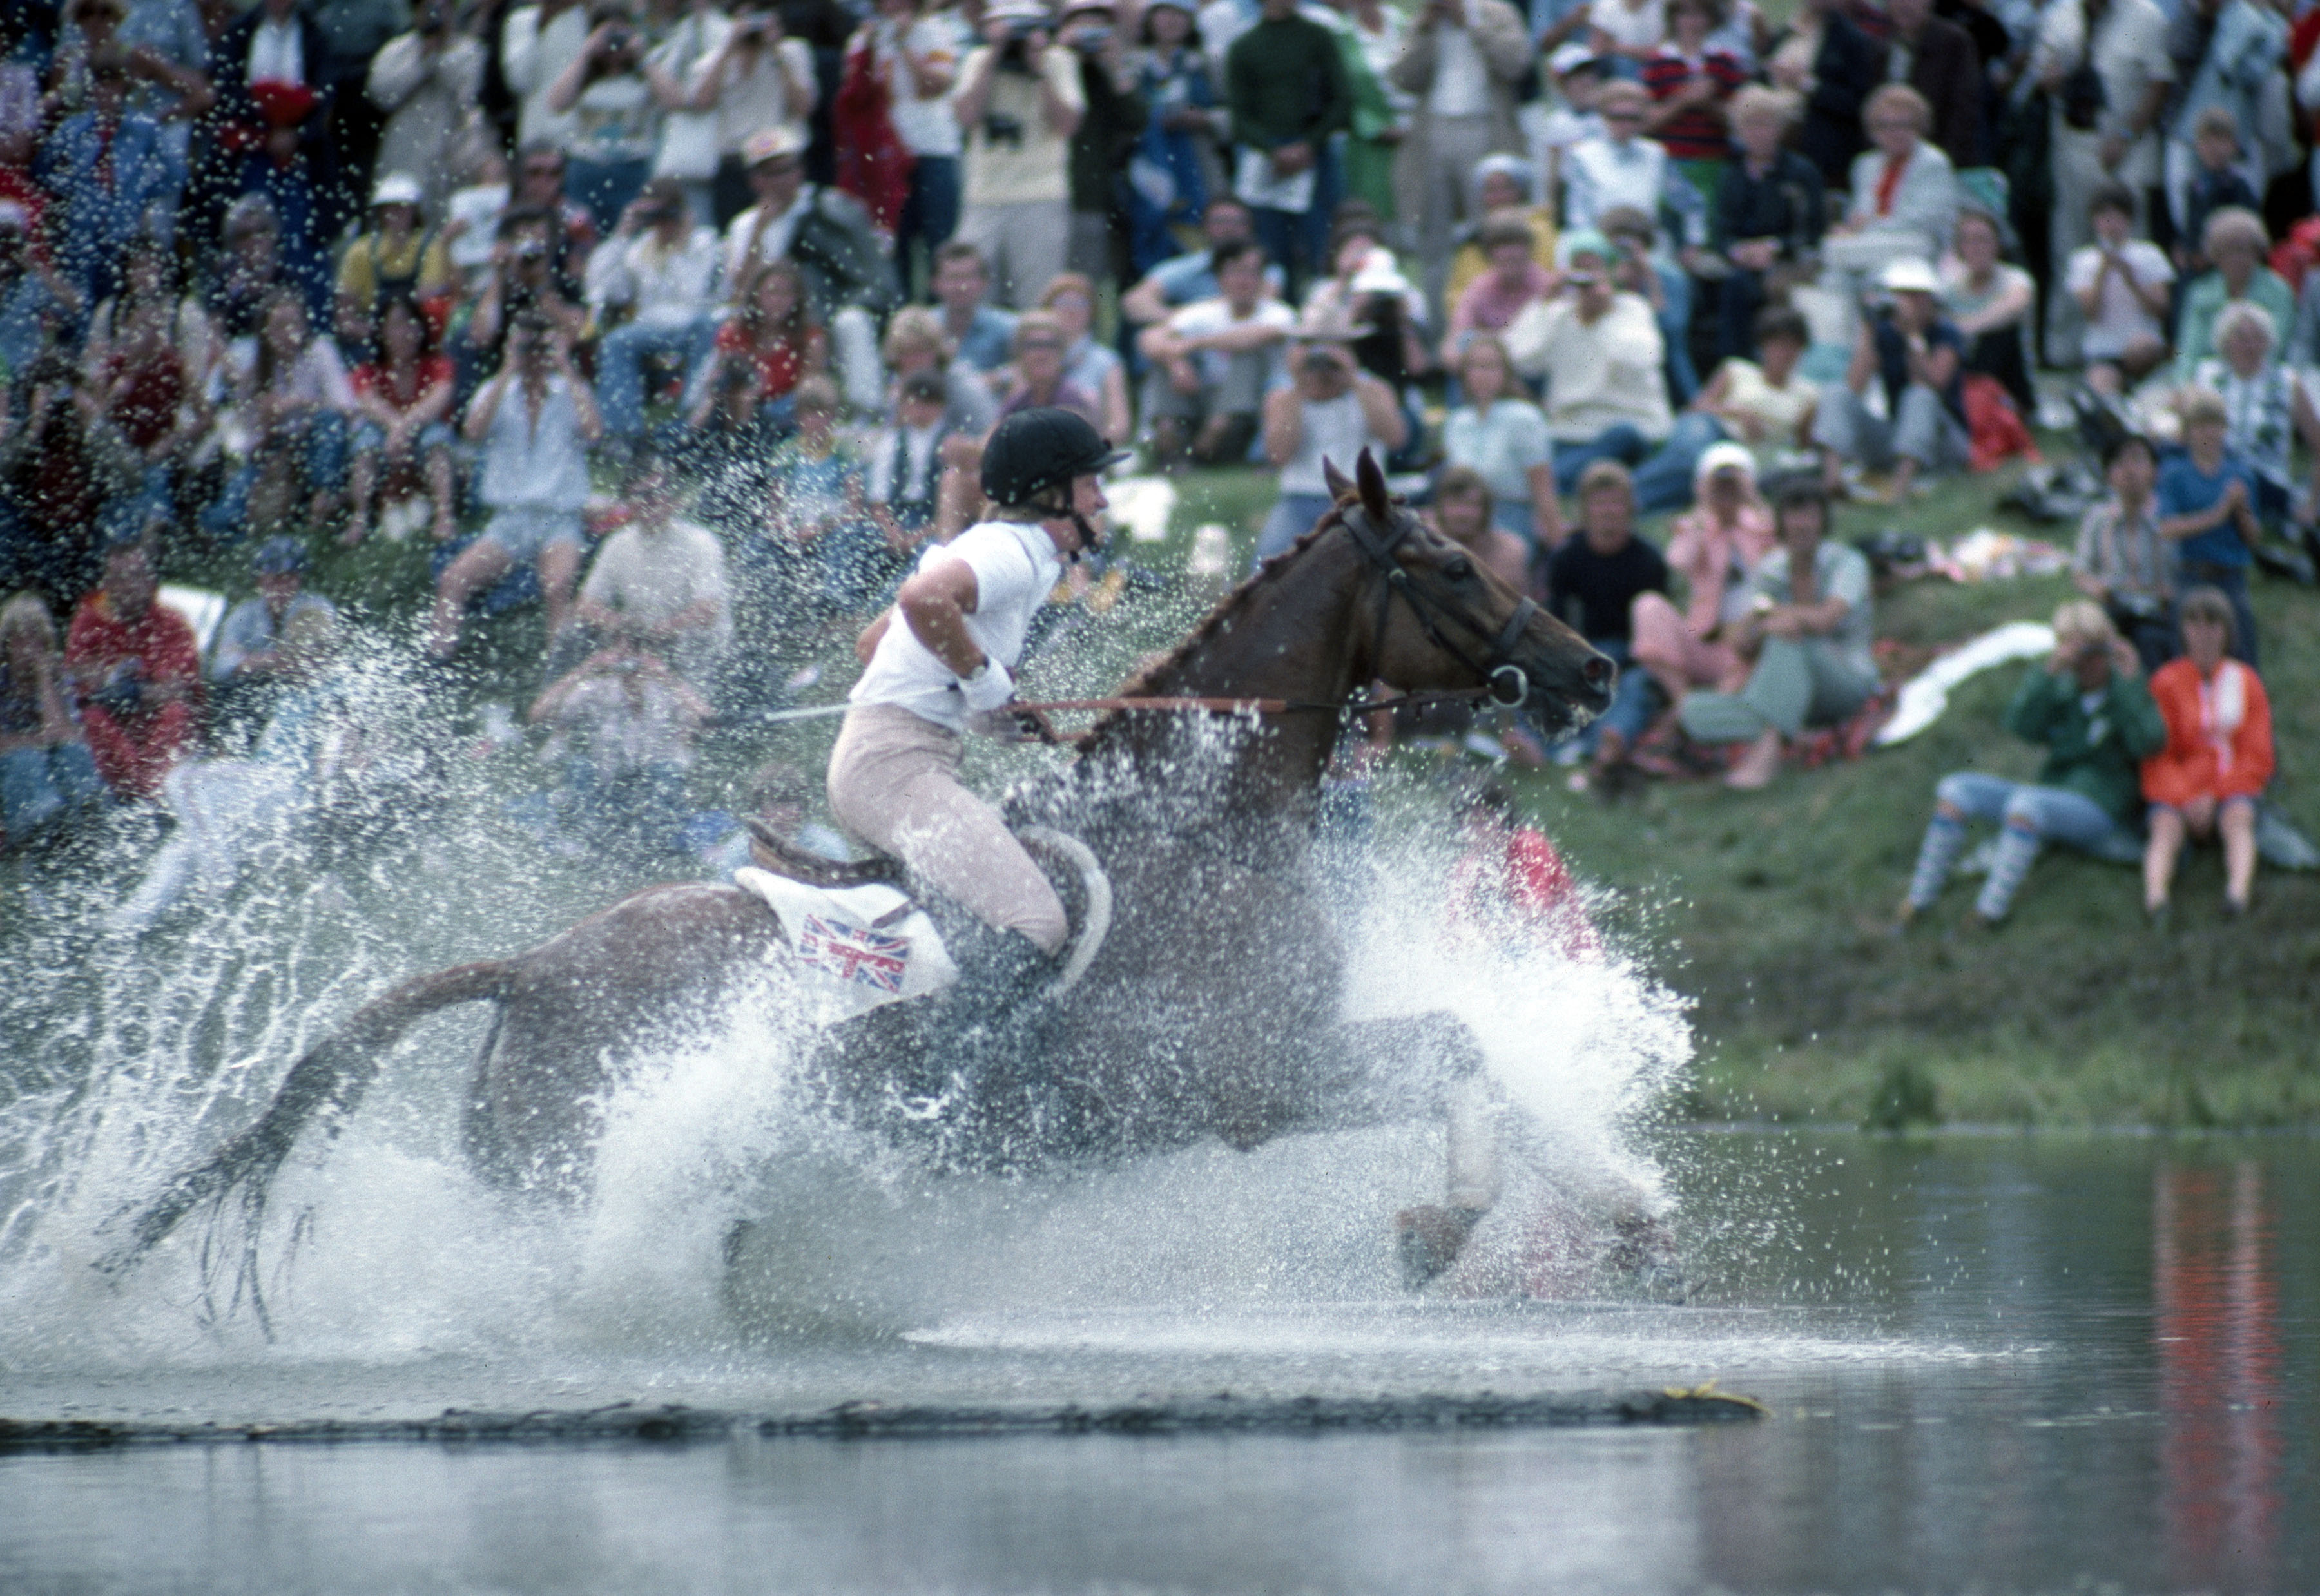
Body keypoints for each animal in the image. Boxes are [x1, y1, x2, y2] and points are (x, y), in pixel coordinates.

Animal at [109, 445, 1614, 1280]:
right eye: (1451, 563)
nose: (1593, 668)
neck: (1206, 823)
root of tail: (529, 966)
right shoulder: (1243, 1075)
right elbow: (1458, 1045)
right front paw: (1443, 1228)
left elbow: (1471, 1049)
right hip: (565, 1170)